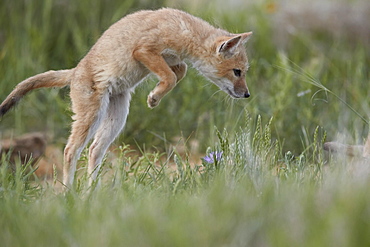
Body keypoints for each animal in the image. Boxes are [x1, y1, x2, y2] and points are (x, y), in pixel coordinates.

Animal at [0, 8, 251, 188]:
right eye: (237, 72)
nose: (247, 94)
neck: (183, 28)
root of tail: (75, 71)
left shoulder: (172, 60)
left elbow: (178, 73)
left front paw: (156, 94)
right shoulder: (144, 50)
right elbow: (171, 77)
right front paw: (154, 97)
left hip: (116, 120)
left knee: (94, 150)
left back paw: (91, 194)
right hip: (91, 117)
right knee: (70, 150)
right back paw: (68, 193)